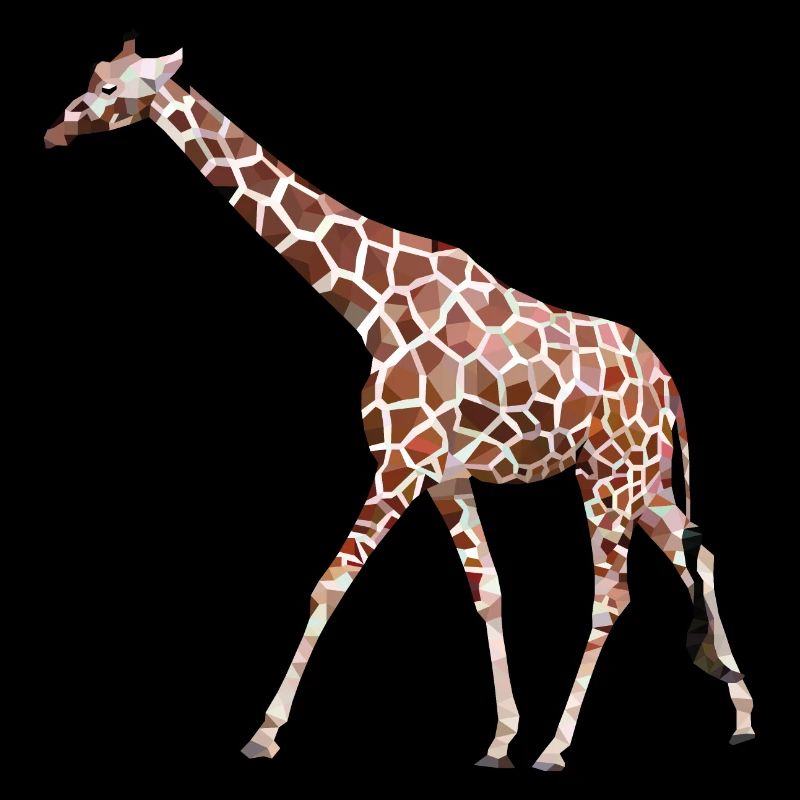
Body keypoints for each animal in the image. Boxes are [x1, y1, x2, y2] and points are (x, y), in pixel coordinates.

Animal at [45, 38, 755, 770]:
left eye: (110, 88)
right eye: (93, 77)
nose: (55, 129)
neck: (373, 301)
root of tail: (669, 383)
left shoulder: (399, 463)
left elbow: (330, 582)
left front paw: (264, 732)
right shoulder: (443, 474)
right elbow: (489, 592)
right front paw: (499, 739)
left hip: (610, 477)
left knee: (613, 595)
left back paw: (557, 748)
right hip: (643, 477)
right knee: (698, 555)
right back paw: (742, 716)